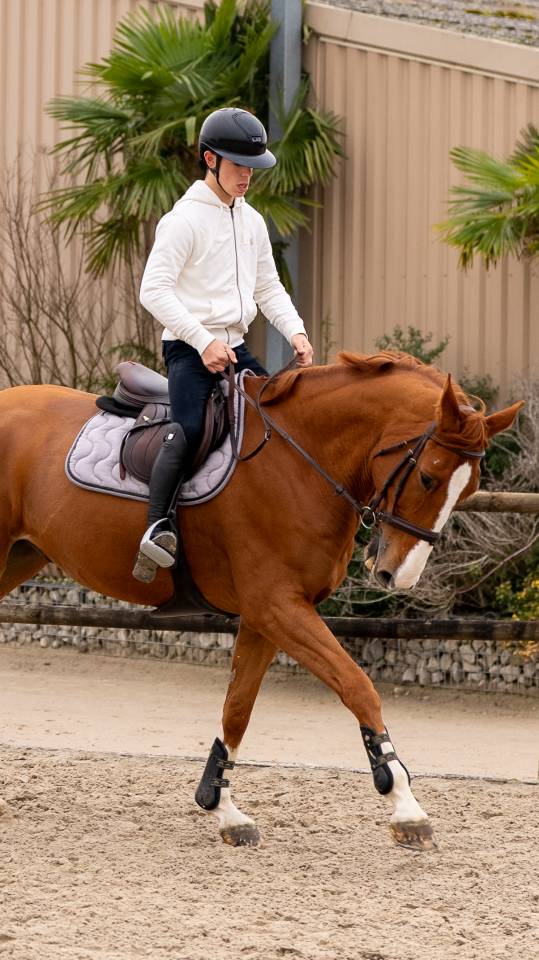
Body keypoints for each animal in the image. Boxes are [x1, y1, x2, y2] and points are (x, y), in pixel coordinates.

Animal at [0, 351, 522, 850]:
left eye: (469, 489)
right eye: (429, 478)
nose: (400, 575)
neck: (300, 458)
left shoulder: (266, 615)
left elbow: (238, 708)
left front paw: (224, 811)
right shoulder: (278, 607)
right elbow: (358, 687)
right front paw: (404, 804)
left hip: (20, 557)